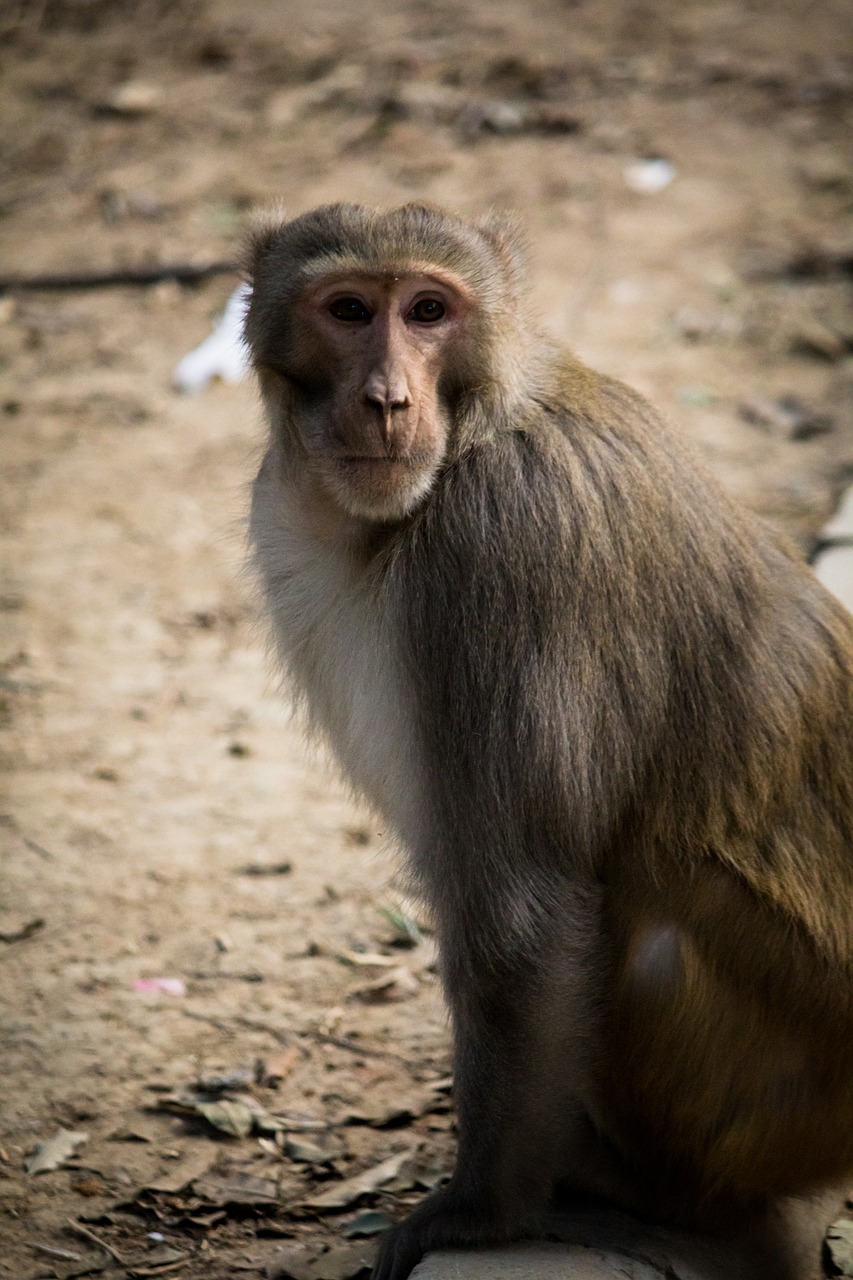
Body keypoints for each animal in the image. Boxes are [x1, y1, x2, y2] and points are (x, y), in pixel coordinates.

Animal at [239, 202, 850, 1280]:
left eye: (428, 310)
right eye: (348, 309)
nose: (387, 399)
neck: (477, 429)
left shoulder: (498, 544)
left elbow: (520, 909)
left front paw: (480, 1210)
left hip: (787, 1093)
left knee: (642, 909)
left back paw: (646, 1187)